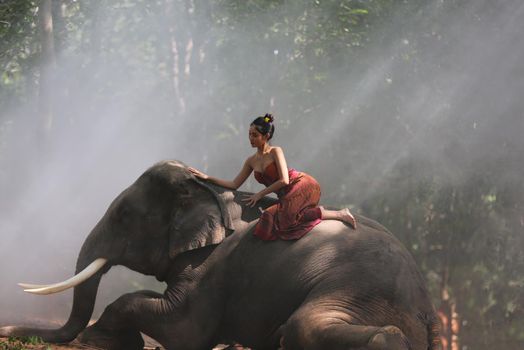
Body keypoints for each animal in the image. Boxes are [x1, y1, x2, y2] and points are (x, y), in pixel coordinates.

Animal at [0, 161, 442, 350]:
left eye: (124, 215)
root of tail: (428, 310)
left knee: (305, 325)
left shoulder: (209, 269)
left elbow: (184, 330)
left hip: (358, 291)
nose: (8, 331)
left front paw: (98, 340)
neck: (207, 191)